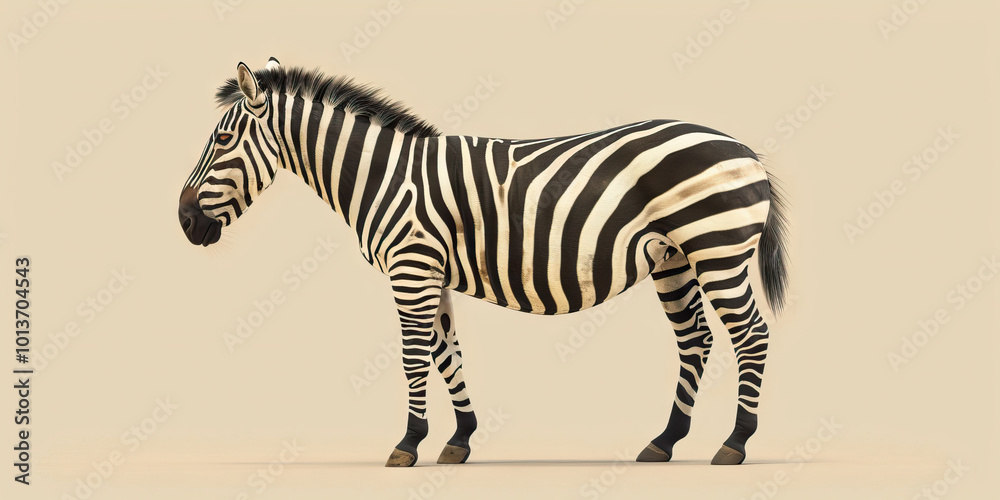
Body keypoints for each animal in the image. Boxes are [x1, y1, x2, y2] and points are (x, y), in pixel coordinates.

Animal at [178, 58, 789, 467]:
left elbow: (413, 357)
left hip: (717, 249)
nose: (184, 222)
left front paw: (407, 445)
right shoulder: (431, 270)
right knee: (697, 340)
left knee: (751, 335)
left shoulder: (411, 267)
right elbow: (447, 353)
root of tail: (743, 148)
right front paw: (459, 439)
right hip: (673, 258)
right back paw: (663, 443)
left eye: (223, 141)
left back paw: (735, 443)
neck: (382, 176)